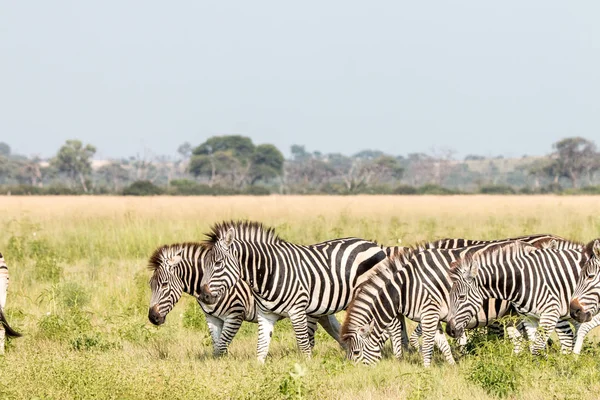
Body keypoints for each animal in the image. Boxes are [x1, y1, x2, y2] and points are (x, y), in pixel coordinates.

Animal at [146, 242, 342, 354]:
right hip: (324, 311)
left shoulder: (235, 314)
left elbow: (221, 347)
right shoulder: (212, 318)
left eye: (164, 285)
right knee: (338, 331)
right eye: (150, 285)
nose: (152, 318)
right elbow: (217, 346)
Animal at [340, 234, 580, 368]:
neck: (406, 285)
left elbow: (426, 343)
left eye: (357, 353)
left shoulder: (429, 312)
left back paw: (563, 362)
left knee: (564, 333)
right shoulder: (433, 317)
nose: (359, 374)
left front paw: (425, 368)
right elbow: (441, 343)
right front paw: (452, 365)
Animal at [446, 239, 600, 354]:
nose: (449, 330)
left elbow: (541, 345)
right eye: (450, 296)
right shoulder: (529, 317)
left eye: (461, 297)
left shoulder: (552, 313)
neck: (522, 281)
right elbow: (533, 346)